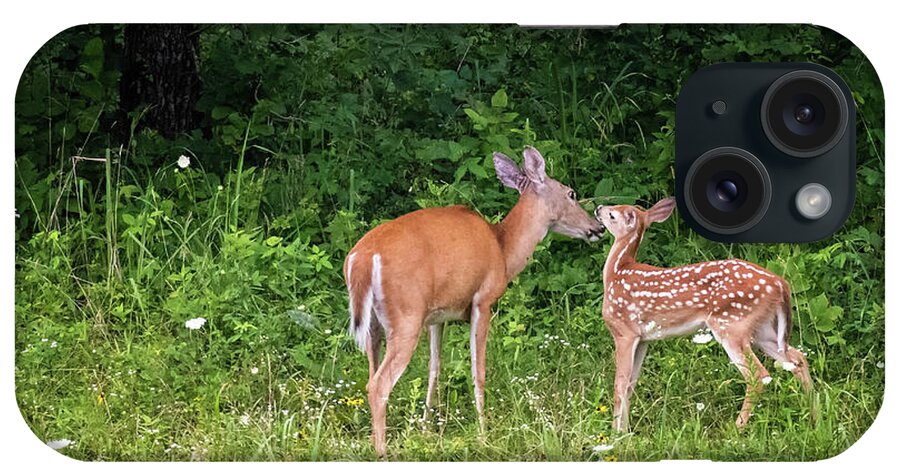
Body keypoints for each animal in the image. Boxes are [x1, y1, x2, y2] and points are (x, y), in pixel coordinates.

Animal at [344, 147, 604, 456]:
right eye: (571, 193)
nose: (599, 227)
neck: (503, 249)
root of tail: (361, 258)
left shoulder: (437, 315)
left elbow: (435, 367)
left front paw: (426, 429)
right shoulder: (483, 299)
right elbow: (478, 369)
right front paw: (483, 434)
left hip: (375, 324)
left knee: (370, 376)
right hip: (405, 314)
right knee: (379, 384)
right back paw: (382, 450)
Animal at [596, 197, 812, 432]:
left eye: (612, 215)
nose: (598, 208)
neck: (617, 271)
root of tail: (780, 284)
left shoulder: (623, 331)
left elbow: (619, 385)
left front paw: (616, 433)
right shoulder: (643, 338)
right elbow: (630, 384)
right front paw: (625, 431)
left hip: (732, 325)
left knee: (758, 375)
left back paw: (737, 428)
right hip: (762, 330)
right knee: (798, 359)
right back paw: (815, 416)